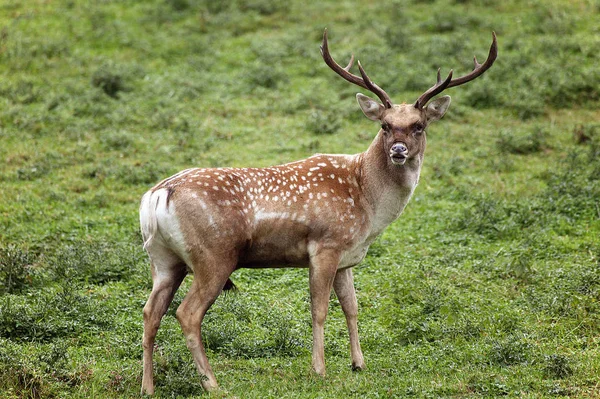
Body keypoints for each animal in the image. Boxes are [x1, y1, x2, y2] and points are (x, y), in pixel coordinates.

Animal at [139, 29, 496, 396]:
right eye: (384, 125)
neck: (367, 202)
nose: (398, 150)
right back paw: (212, 383)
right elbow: (320, 310)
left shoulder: (347, 257)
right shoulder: (326, 244)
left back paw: (148, 386)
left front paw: (358, 363)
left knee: (151, 312)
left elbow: (352, 307)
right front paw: (319, 369)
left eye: (419, 126)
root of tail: (158, 195)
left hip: (164, 260)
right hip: (214, 255)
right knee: (187, 313)